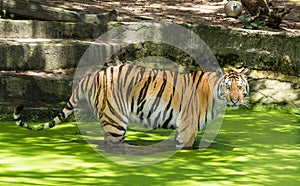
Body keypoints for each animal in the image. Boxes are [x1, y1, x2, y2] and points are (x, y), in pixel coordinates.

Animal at [12, 64, 250, 149]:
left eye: (240, 87)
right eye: (228, 87)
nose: (235, 99)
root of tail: (91, 75)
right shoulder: (187, 130)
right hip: (115, 120)